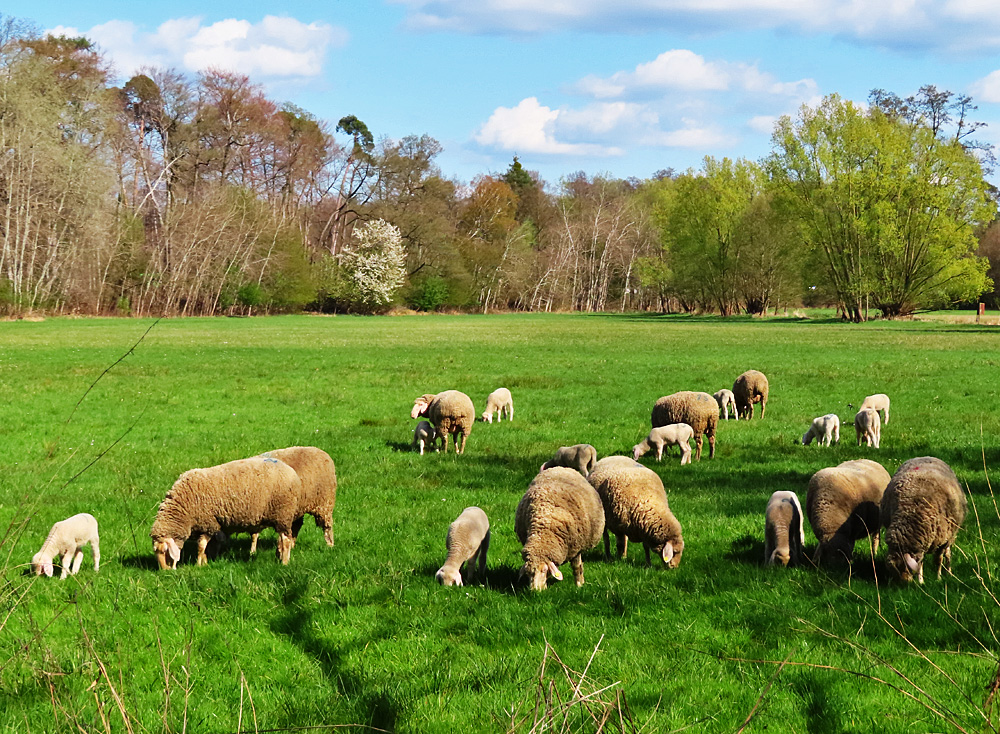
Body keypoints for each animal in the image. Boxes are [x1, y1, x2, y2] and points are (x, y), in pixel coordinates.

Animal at [149, 458, 300, 572]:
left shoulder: (209, 524)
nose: (165, 571)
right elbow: (207, 547)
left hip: (282, 514)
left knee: (286, 540)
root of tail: (291, 472)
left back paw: (284, 562)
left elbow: (201, 546)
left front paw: (198, 564)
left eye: (165, 551)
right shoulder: (206, 526)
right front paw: (205, 562)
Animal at [512, 468, 604, 596]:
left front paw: (579, 585)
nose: (534, 592)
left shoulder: (576, 547)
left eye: (544, 570)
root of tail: (560, 467)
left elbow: (577, 567)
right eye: (528, 573)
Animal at [884, 454, 968, 588]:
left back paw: (949, 572)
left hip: (951, 535)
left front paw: (938, 578)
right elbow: (921, 563)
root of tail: (926, 456)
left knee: (948, 554)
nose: (904, 585)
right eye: (895, 571)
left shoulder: (941, 539)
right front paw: (921, 580)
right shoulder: (922, 544)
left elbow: (939, 559)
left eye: (906, 568)